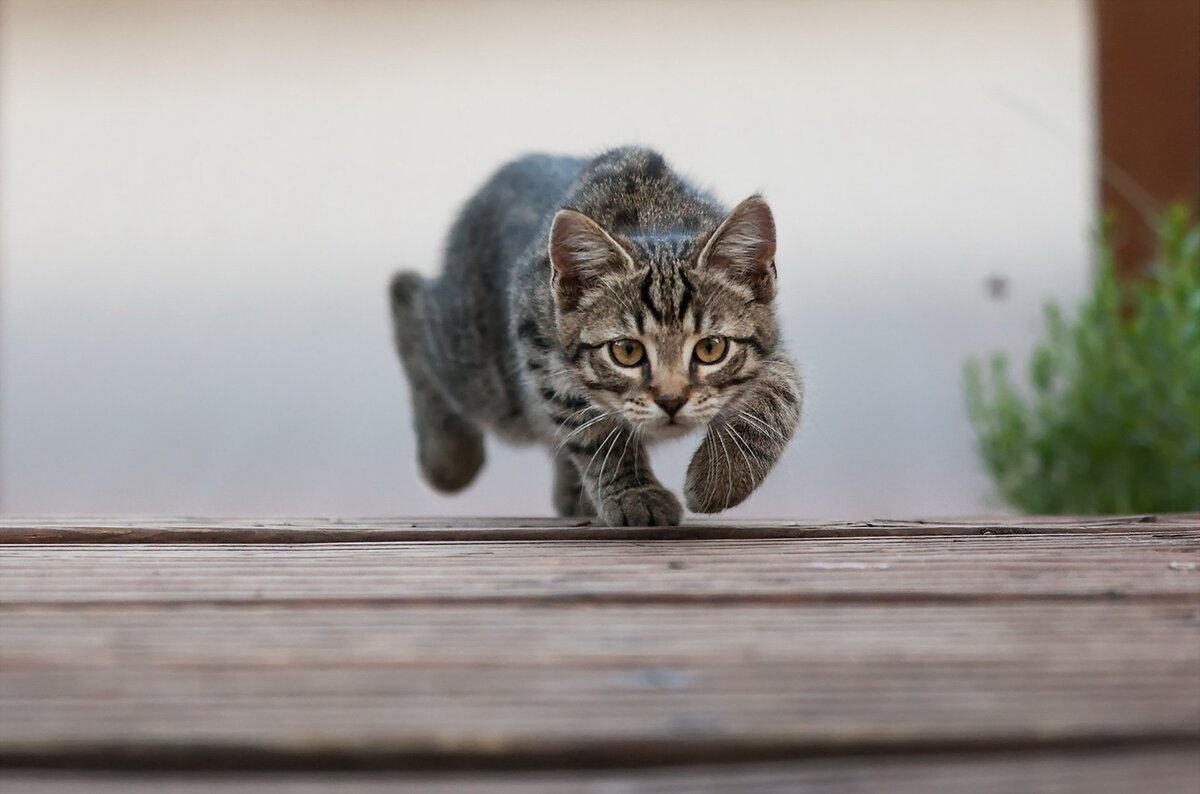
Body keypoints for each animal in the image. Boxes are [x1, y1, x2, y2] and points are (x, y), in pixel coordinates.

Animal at [393, 147, 801, 527]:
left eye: (711, 348)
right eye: (627, 351)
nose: (671, 401)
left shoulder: (774, 343)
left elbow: (783, 394)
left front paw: (722, 476)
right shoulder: (541, 352)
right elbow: (594, 428)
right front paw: (634, 493)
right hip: (485, 378)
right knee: (408, 294)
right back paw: (448, 456)